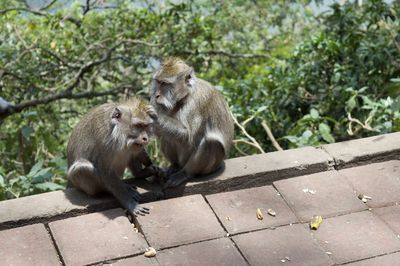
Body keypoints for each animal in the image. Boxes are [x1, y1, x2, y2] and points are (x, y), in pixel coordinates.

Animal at [150, 57, 234, 188]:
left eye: (164, 84)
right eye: (158, 82)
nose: (156, 95)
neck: (186, 95)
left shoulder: (196, 104)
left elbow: (188, 137)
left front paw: (156, 116)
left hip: (211, 166)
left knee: (211, 143)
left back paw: (185, 173)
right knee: (166, 135)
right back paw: (174, 166)